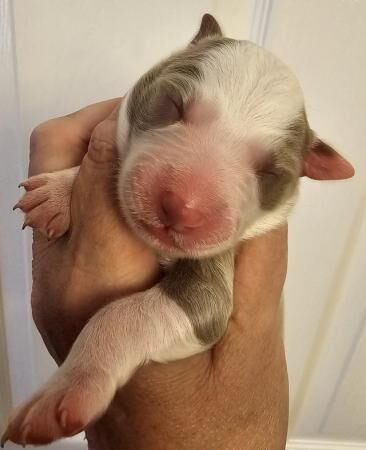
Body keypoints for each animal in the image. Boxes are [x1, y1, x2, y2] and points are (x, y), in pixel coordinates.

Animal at [1, 13, 354, 446]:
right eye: (172, 104)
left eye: (270, 174)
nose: (182, 207)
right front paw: (58, 190)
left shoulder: (213, 284)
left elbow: (121, 313)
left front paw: (62, 391)